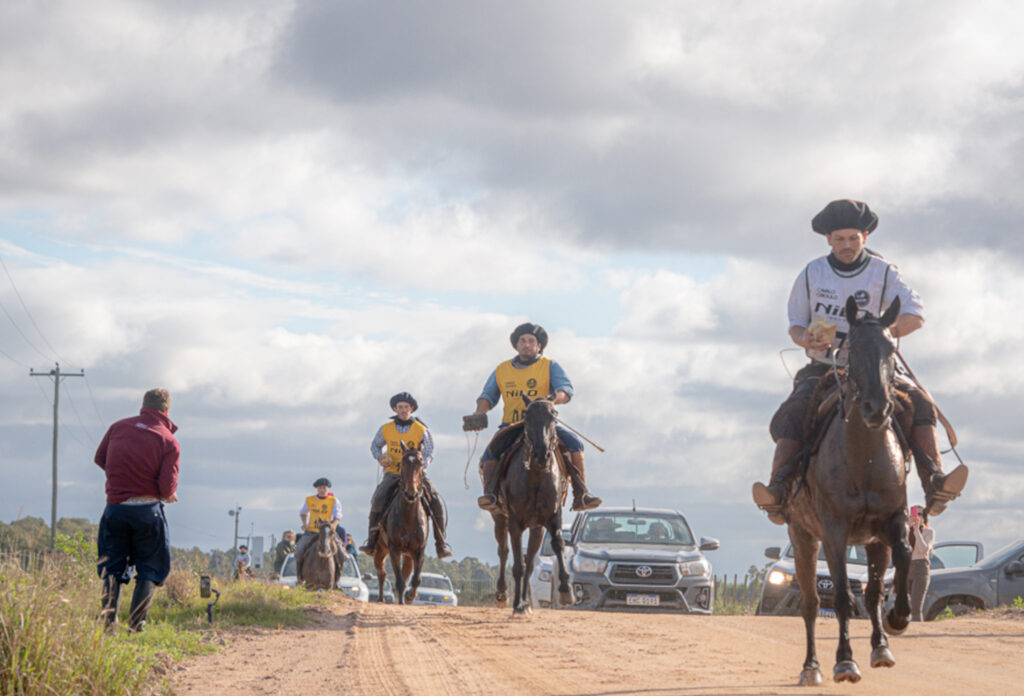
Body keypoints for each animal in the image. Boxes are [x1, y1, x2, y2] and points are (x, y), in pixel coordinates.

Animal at [372, 440, 428, 601]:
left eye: (420, 462)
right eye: (403, 463)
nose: (411, 493)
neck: (409, 516)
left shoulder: (419, 550)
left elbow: (415, 579)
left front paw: (409, 596)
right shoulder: (394, 549)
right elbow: (399, 581)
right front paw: (402, 601)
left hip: (408, 555)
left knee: (405, 572)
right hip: (380, 550)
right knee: (382, 573)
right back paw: (380, 599)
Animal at [489, 395, 573, 618]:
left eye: (554, 415)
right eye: (526, 417)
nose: (542, 455)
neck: (536, 476)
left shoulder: (552, 516)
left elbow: (558, 544)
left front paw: (566, 590)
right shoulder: (514, 522)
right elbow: (518, 563)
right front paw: (518, 604)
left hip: (536, 528)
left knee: (531, 560)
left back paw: (527, 602)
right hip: (499, 518)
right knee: (504, 551)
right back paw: (504, 595)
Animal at [782, 294, 913, 683]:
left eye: (891, 348)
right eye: (852, 349)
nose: (877, 408)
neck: (864, 458)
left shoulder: (892, 520)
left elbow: (901, 559)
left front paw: (898, 619)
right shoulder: (834, 531)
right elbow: (839, 596)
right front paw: (844, 660)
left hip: (872, 542)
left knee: (872, 593)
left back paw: (880, 645)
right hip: (802, 537)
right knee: (811, 604)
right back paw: (811, 667)